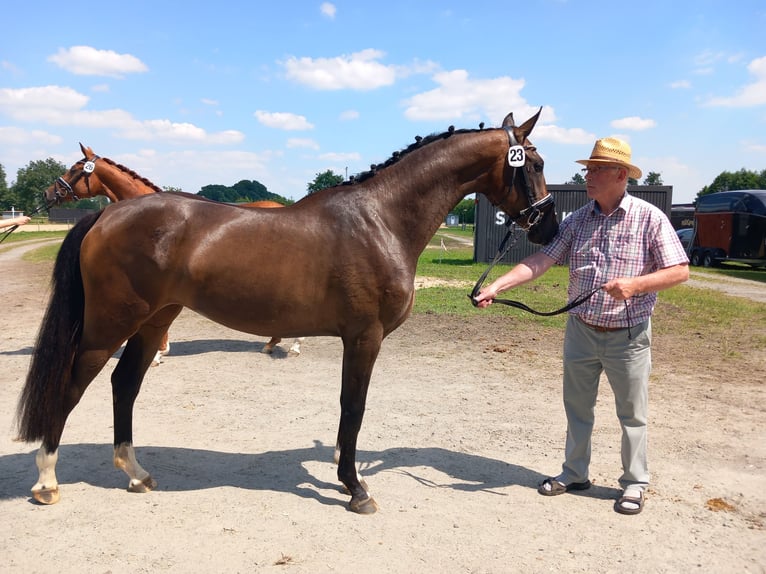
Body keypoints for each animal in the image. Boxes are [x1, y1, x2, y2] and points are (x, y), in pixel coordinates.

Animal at [45, 148, 306, 364]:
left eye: (74, 169)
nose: (48, 193)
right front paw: (162, 350)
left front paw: (157, 354)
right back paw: (272, 343)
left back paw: (292, 346)